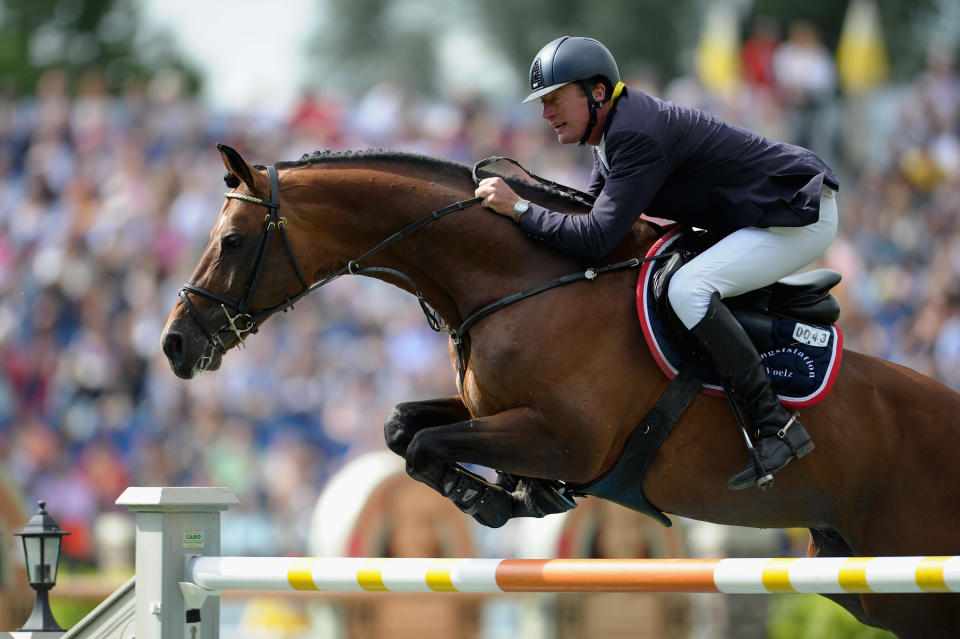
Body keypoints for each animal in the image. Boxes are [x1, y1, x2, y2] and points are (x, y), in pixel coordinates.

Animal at [163, 146, 960, 639]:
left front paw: (496, 498)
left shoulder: (568, 439)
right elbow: (401, 427)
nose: (174, 345)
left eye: (232, 241)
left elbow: (426, 443)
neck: (522, 279)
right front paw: (511, 493)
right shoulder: (493, 411)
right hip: (863, 580)